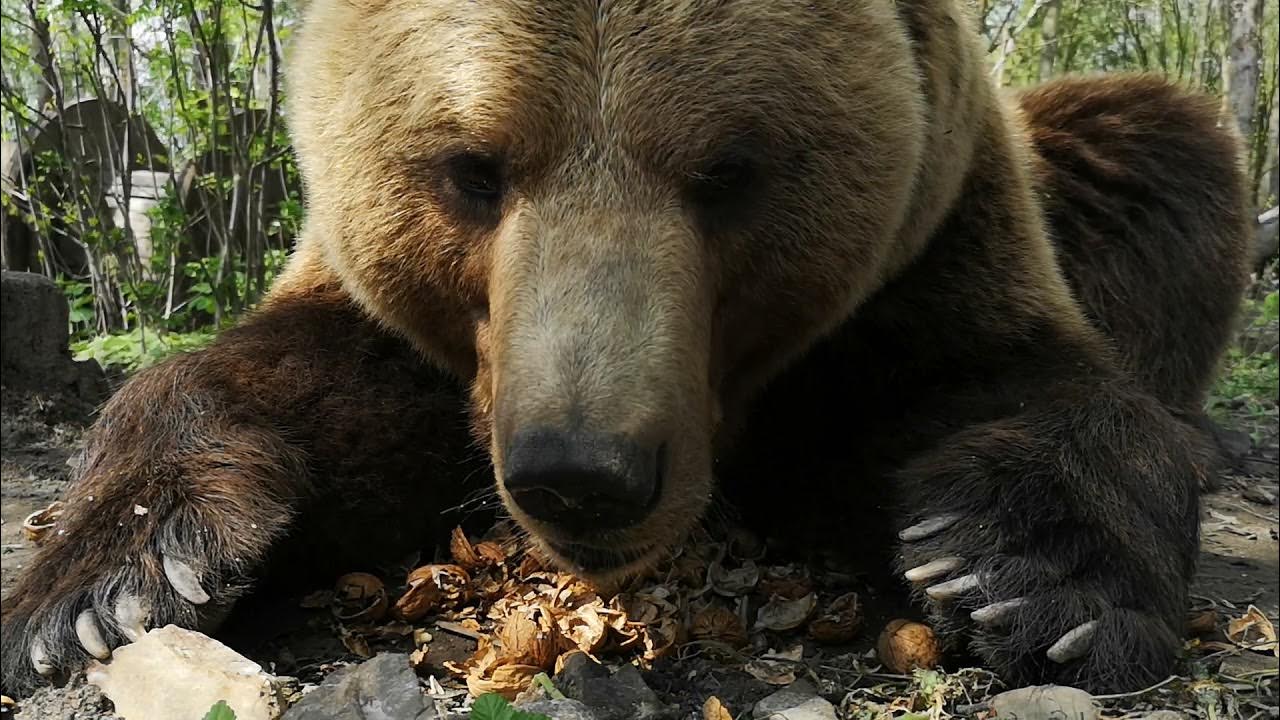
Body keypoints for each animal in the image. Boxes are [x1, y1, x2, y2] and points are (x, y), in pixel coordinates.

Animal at [0, 0, 1249, 696]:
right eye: (471, 168)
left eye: (730, 171)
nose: (583, 471)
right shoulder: (426, 339)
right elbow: (311, 386)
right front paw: (106, 585)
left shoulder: (931, 250)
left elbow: (1001, 385)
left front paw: (1025, 581)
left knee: (1156, 147)